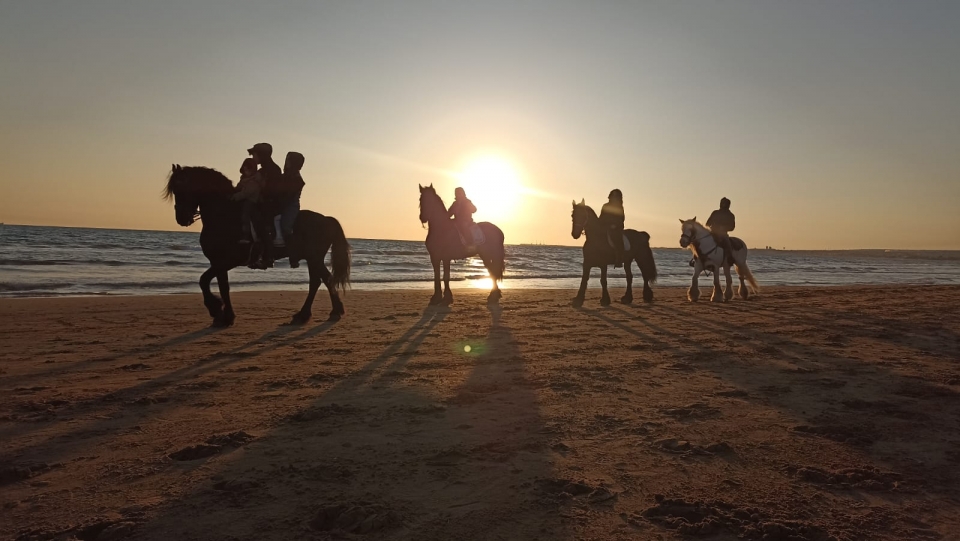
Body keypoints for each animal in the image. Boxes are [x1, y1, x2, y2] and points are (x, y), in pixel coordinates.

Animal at [163, 164, 351, 326]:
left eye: (181, 188)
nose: (182, 218)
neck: (225, 215)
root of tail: (326, 219)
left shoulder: (228, 260)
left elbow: (204, 280)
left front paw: (216, 309)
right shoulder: (217, 262)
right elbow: (223, 287)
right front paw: (225, 316)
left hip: (314, 258)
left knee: (318, 282)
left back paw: (307, 314)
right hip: (314, 258)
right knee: (324, 280)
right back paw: (330, 311)